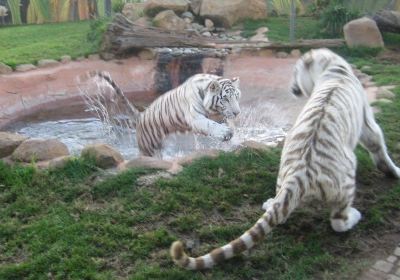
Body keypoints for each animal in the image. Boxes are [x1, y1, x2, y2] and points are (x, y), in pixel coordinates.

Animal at [84, 71, 241, 158]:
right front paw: (226, 133)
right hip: (148, 147)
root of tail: (141, 115)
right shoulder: (195, 118)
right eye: (226, 98)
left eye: (236, 96)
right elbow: (210, 125)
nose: (237, 112)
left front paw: (234, 136)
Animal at [170, 48, 400, 270]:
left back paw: (269, 202)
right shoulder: (368, 122)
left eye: (295, 72)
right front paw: (394, 171)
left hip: (283, 177)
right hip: (347, 175)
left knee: (277, 207)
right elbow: (377, 143)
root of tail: (298, 176)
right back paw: (354, 215)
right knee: (338, 222)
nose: (292, 87)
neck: (332, 68)